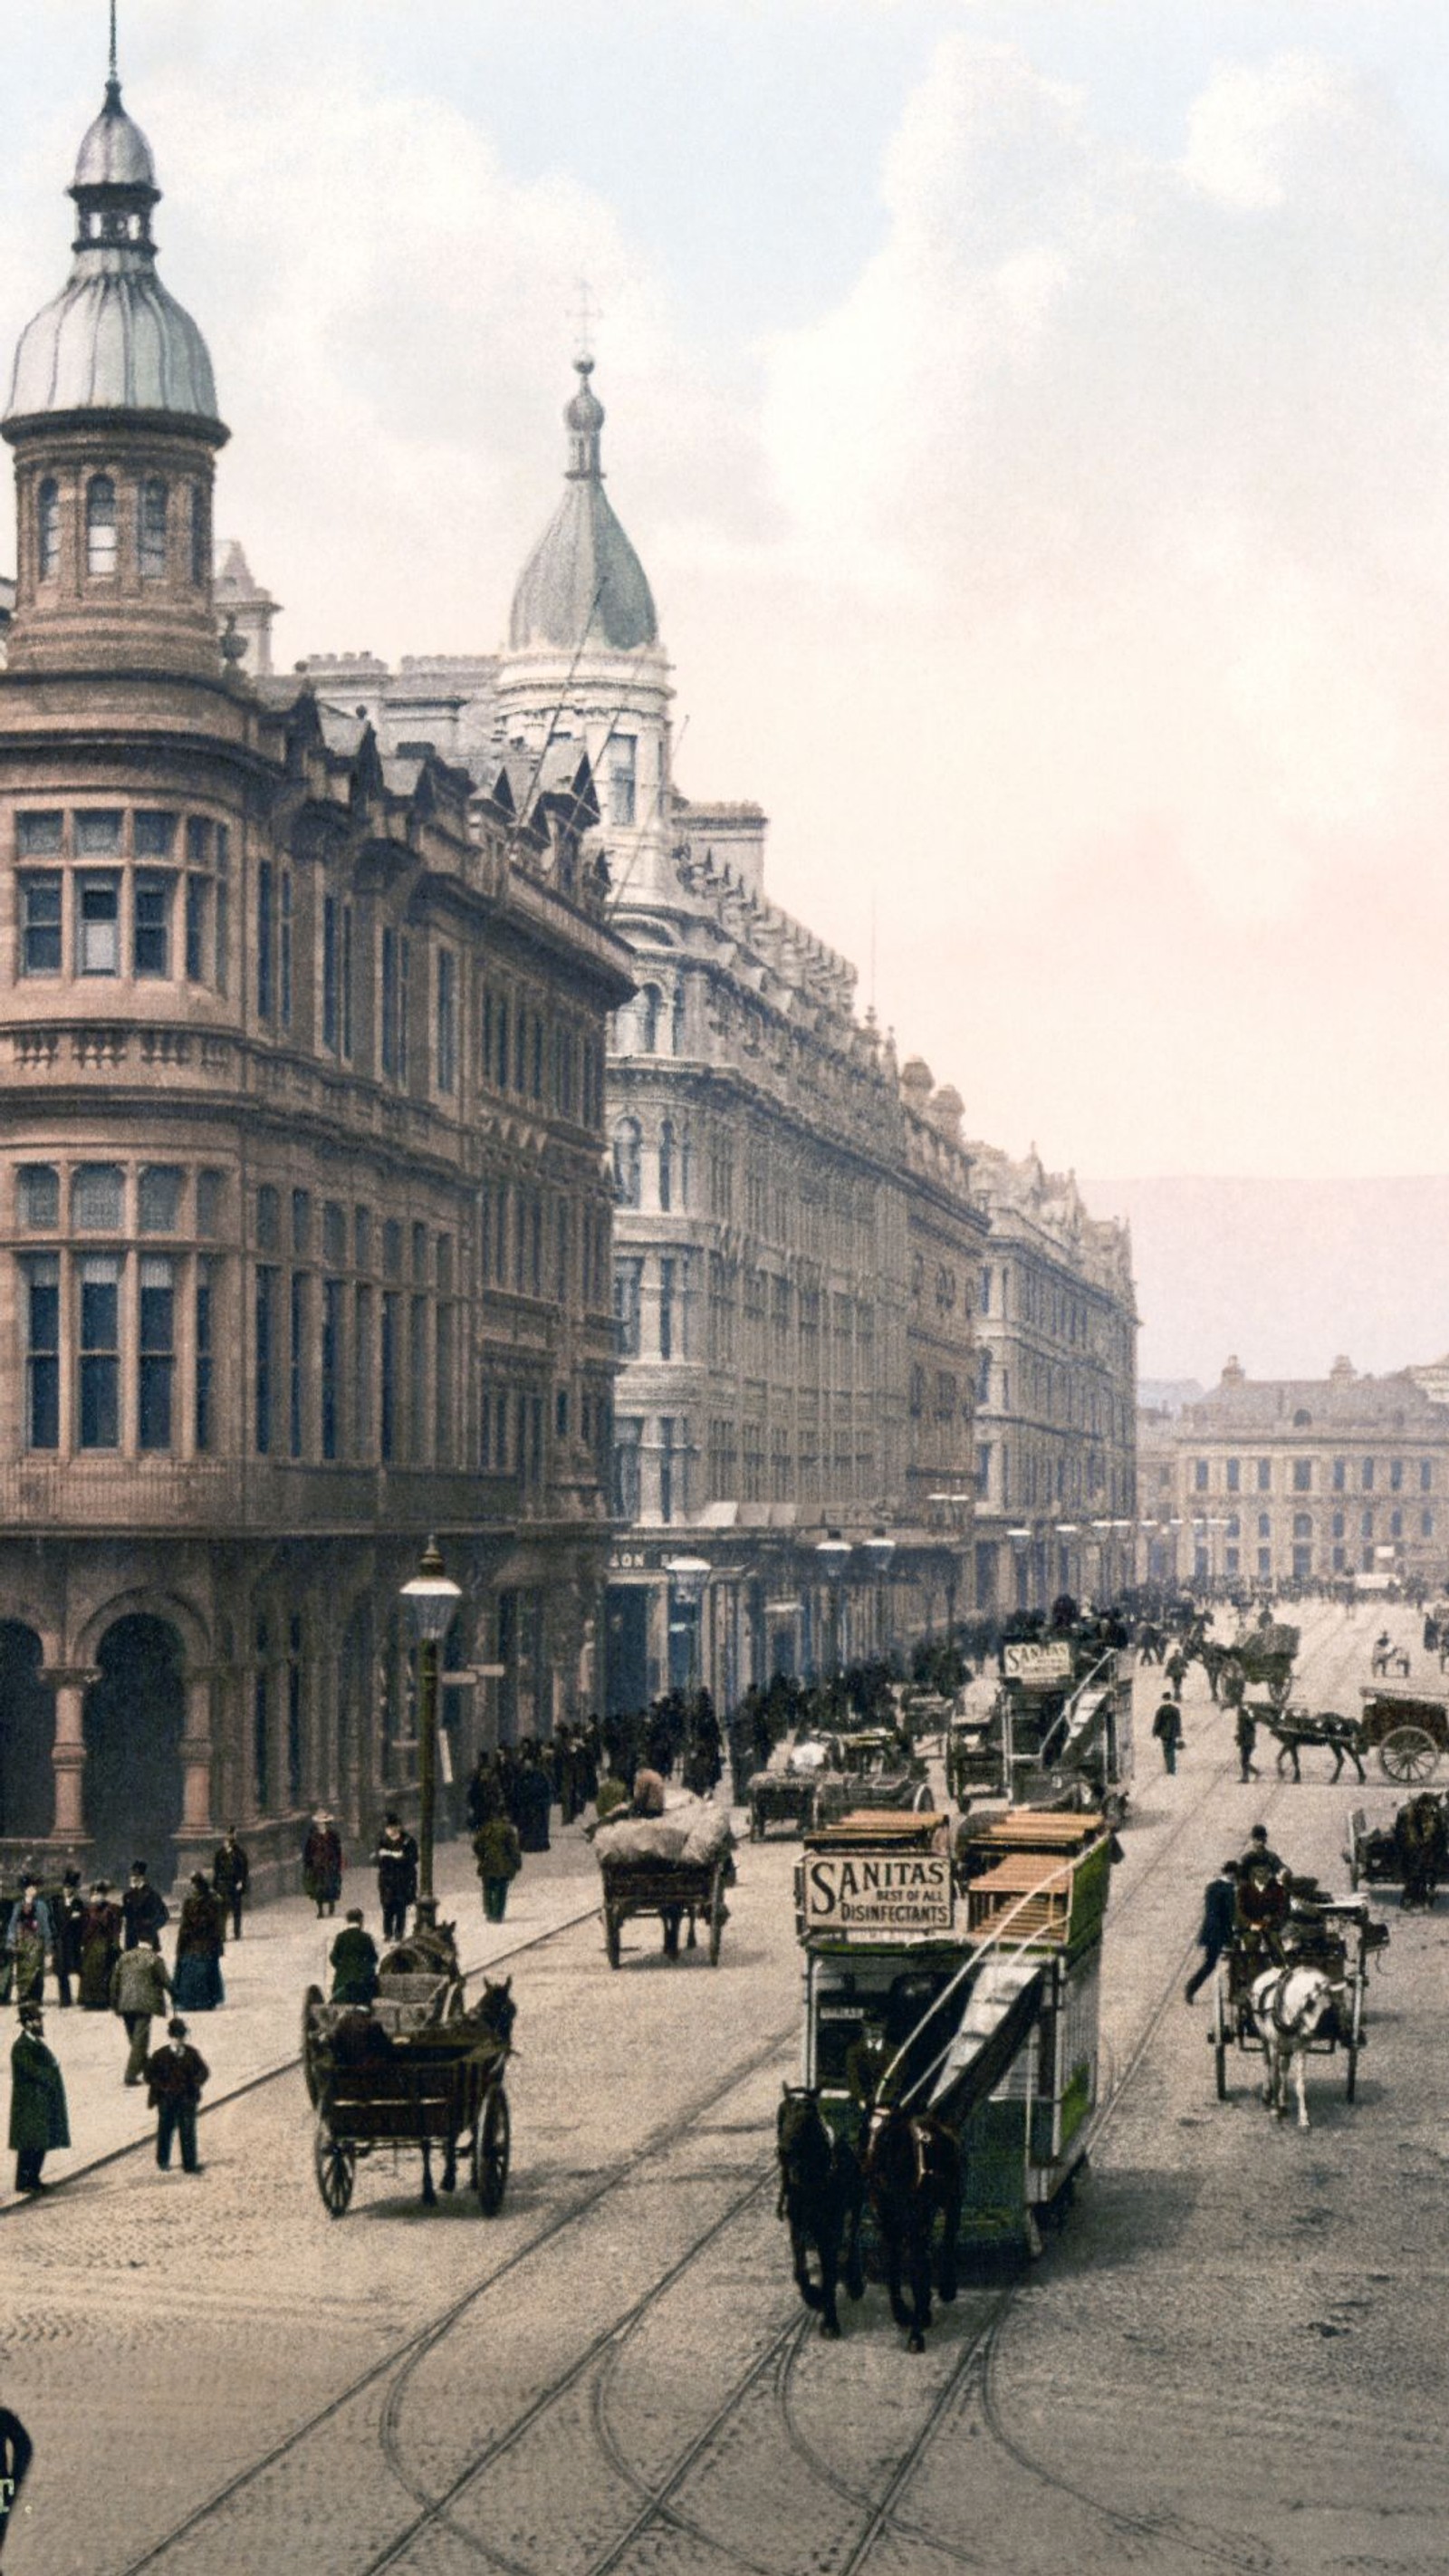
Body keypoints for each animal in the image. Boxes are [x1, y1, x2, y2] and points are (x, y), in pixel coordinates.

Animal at [859, 2101, 962, 2349]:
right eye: (864, 2131)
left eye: (887, 2135)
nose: (866, 2168)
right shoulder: (889, 2227)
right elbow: (894, 2266)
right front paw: (903, 2313)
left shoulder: (916, 2225)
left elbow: (917, 2273)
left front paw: (916, 2336)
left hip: (953, 2200)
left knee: (948, 2237)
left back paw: (946, 2288)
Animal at [1245, 1967, 1348, 2132]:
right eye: (1310, 2004)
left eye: (1329, 2004)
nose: (1320, 2031)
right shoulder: (1274, 2046)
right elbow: (1275, 2078)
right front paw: (1275, 2112)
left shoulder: (1300, 2048)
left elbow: (1300, 2085)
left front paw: (1303, 2119)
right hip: (1265, 2039)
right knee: (1268, 2065)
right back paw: (1268, 2095)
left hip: (1287, 2047)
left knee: (1284, 2068)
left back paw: (1283, 2100)